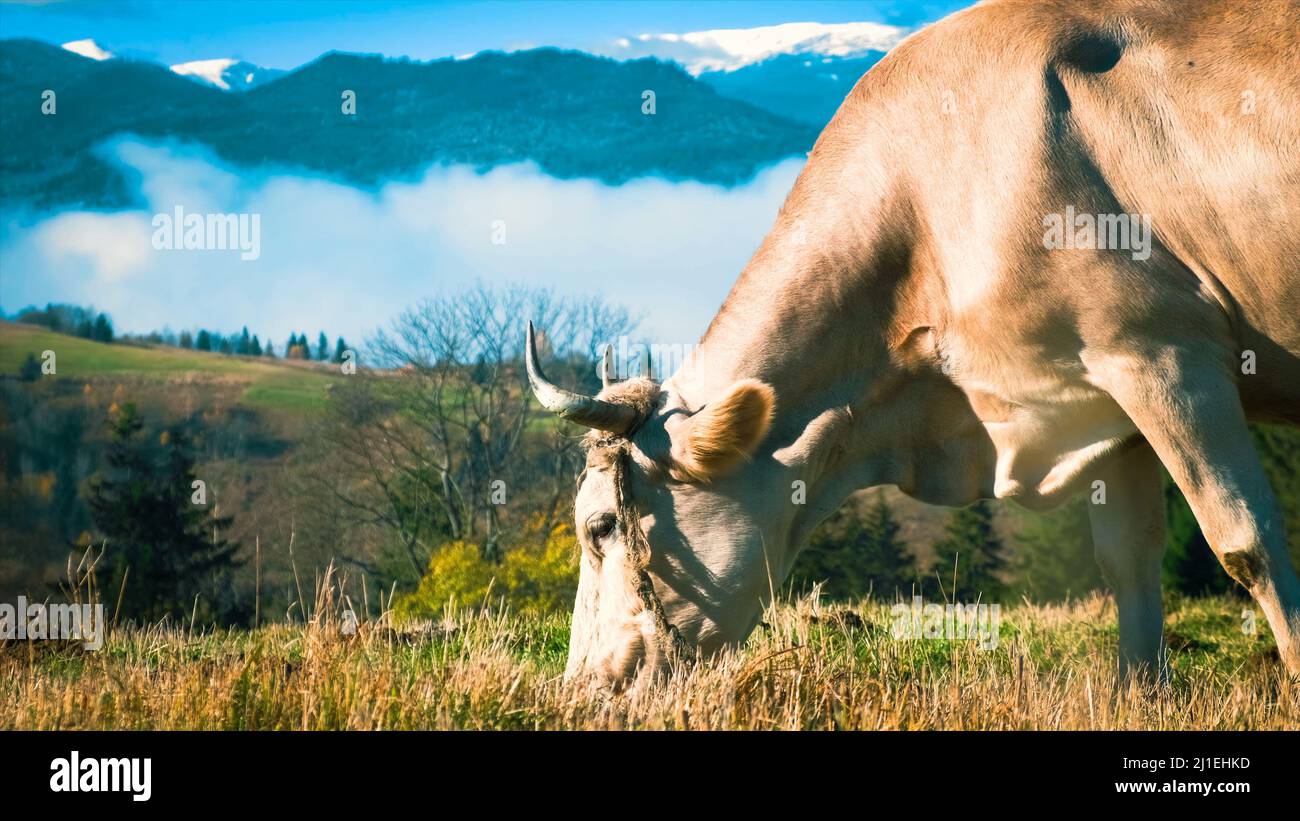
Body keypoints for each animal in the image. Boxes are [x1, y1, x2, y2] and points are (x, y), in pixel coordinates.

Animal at [525, 0, 1300, 685]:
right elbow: (1128, 563)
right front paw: (1140, 693)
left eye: (600, 526)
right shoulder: (1100, 404)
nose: (584, 686)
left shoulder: (1162, 353)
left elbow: (1248, 543)